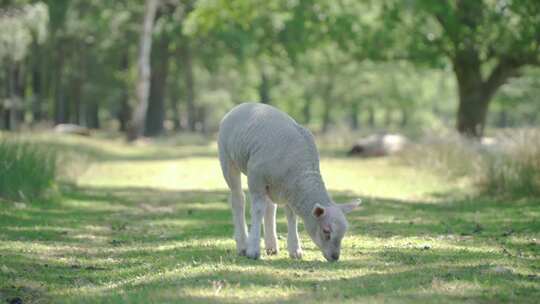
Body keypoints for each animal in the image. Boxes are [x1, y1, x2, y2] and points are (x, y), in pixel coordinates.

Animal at [217, 102, 360, 262]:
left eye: (344, 232)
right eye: (326, 231)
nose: (335, 257)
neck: (301, 172)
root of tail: (242, 105)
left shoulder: (290, 189)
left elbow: (291, 216)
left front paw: (295, 250)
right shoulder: (256, 178)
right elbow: (258, 210)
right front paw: (253, 250)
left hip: (273, 184)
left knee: (270, 207)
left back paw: (271, 246)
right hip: (228, 159)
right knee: (238, 199)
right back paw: (243, 245)